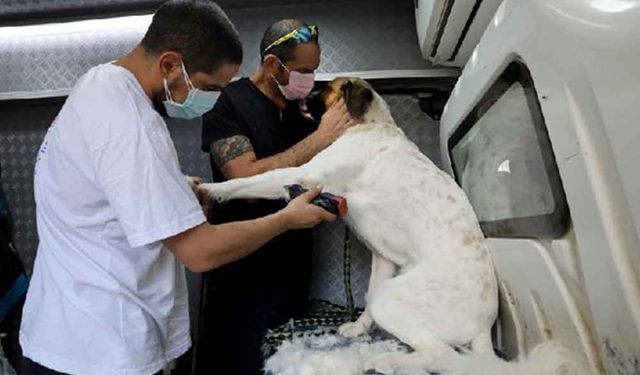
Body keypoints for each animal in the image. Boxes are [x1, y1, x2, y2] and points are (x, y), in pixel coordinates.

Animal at [200, 78, 592, 374]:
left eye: (325, 88)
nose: (298, 99)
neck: (370, 125)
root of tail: (484, 325)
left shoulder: (303, 174)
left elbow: (251, 181)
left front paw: (209, 190)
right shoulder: (382, 256)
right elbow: (367, 299)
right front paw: (358, 328)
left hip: (395, 297)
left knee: (442, 355)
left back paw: (383, 361)